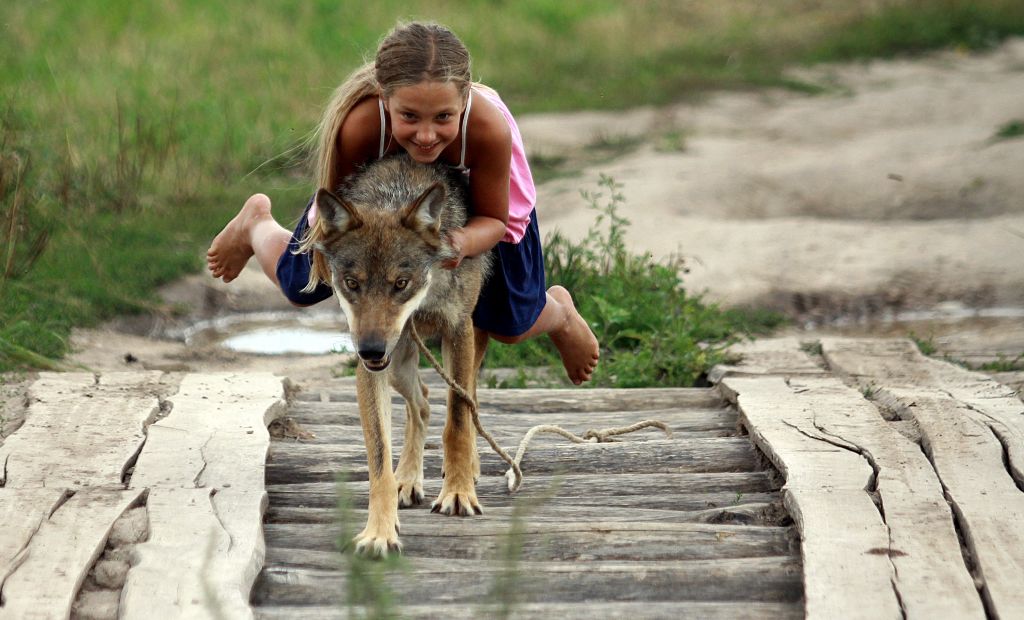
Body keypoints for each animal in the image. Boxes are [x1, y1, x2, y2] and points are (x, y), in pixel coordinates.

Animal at [312, 154, 492, 556]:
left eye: (400, 283)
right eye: (353, 284)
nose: (370, 349)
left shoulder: (458, 329)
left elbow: (458, 420)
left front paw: (458, 493)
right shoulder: (372, 366)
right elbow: (379, 458)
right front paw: (379, 532)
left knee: (467, 400)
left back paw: (467, 469)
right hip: (397, 362)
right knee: (421, 402)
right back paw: (408, 480)